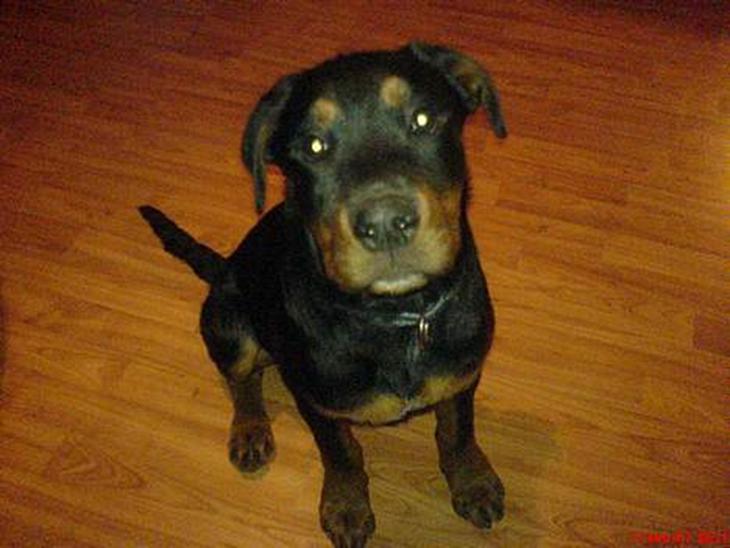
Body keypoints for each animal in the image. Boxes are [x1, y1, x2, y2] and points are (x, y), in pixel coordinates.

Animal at [140, 42, 507, 547]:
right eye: (313, 146)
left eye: (422, 119)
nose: (386, 224)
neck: (398, 314)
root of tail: (225, 266)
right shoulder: (314, 401)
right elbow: (342, 453)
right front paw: (346, 507)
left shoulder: (462, 373)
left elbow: (457, 431)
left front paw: (472, 481)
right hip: (227, 322)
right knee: (241, 380)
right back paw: (250, 430)